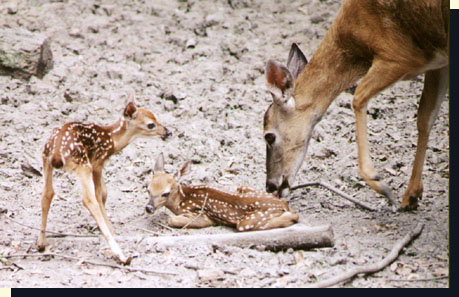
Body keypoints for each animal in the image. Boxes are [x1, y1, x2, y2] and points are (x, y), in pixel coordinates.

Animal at [39, 95, 171, 264]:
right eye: (151, 124)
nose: (168, 132)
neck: (112, 140)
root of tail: (57, 154)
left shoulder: (96, 164)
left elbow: (104, 192)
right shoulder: (97, 162)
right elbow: (100, 194)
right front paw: (111, 229)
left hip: (46, 158)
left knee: (47, 193)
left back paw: (41, 244)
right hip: (82, 164)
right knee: (88, 200)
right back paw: (120, 254)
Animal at [146, 154, 300, 230]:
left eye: (165, 193)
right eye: (148, 189)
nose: (148, 208)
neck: (181, 201)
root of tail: (283, 205)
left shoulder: (201, 216)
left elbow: (172, 220)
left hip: (249, 221)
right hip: (243, 187)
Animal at [264, 0, 448, 210]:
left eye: (269, 136)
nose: (270, 185)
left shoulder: (400, 56)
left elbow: (358, 97)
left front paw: (381, 185)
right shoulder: (439, 62)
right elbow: (425, 118)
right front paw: (411, 195)